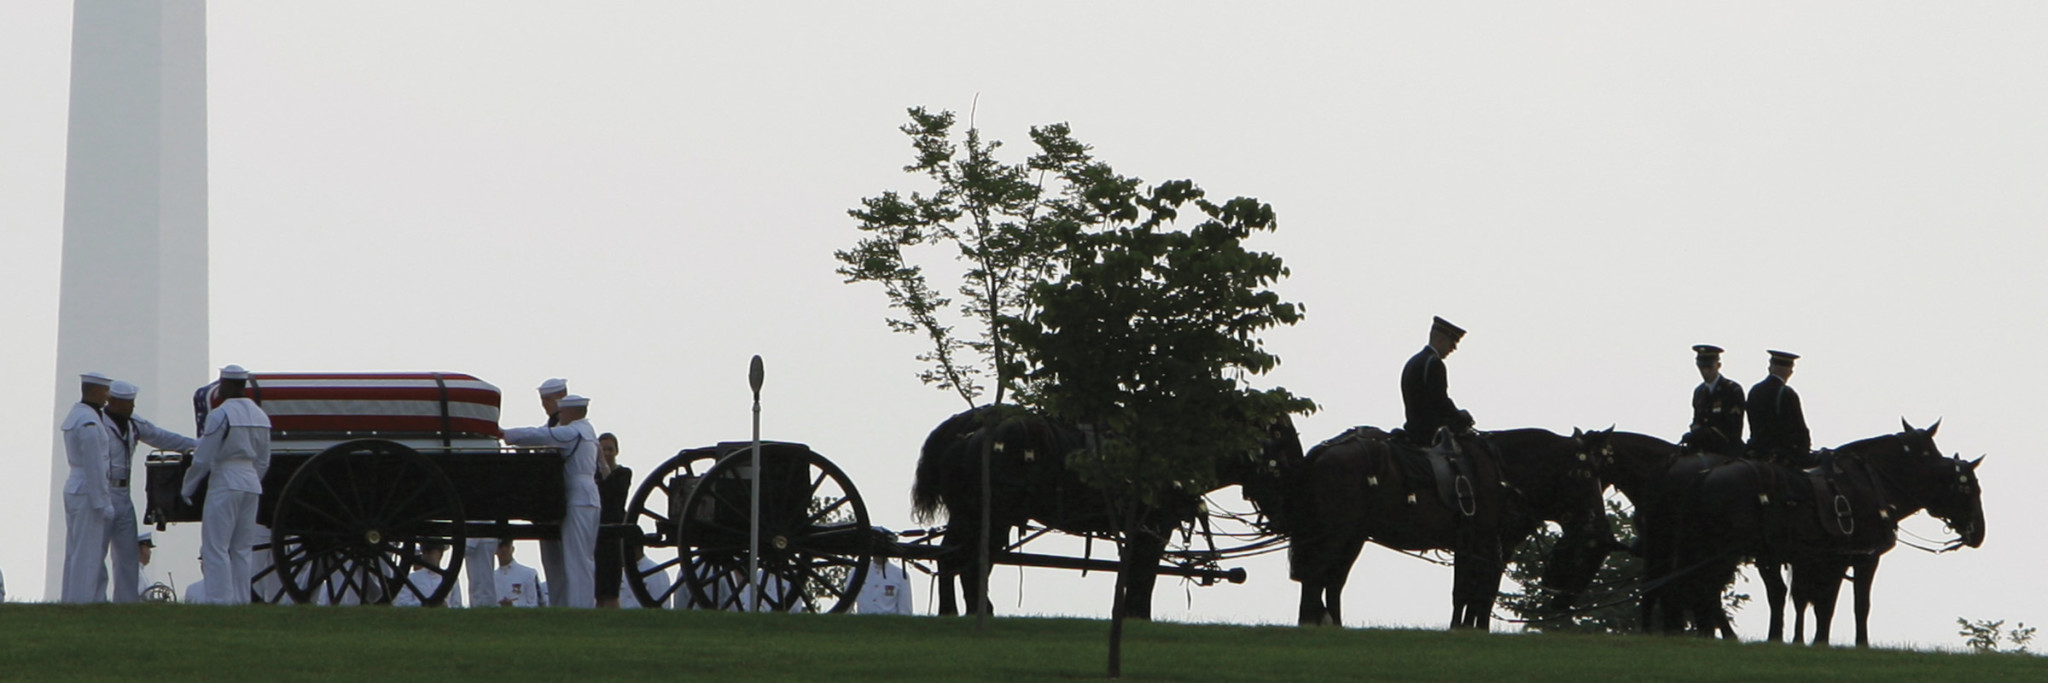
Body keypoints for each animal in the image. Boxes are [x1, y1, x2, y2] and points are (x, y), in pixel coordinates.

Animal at [909, 402, 1294, 619]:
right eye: (1284, 443)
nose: (1287, 519)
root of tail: (963, 429)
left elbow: (1135, 575)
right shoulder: (1152, 529)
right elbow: (1142, 578)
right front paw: (1137, 618)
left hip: (968, 515)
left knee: (950, 556)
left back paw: (951, 612)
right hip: (993, 517)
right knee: (972, 561)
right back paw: (979, 611)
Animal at [1277, 426, 1597, 627]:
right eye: (1588, 474)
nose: (1594, 518)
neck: (1500, 470)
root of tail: (1324, 451)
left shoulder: (1473, 546)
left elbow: (1467, 592)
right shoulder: (1485, 545)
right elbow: (1476, 593)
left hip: (1351, 536)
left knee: (1332, 581)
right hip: (1335, 533)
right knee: (1316, 577)